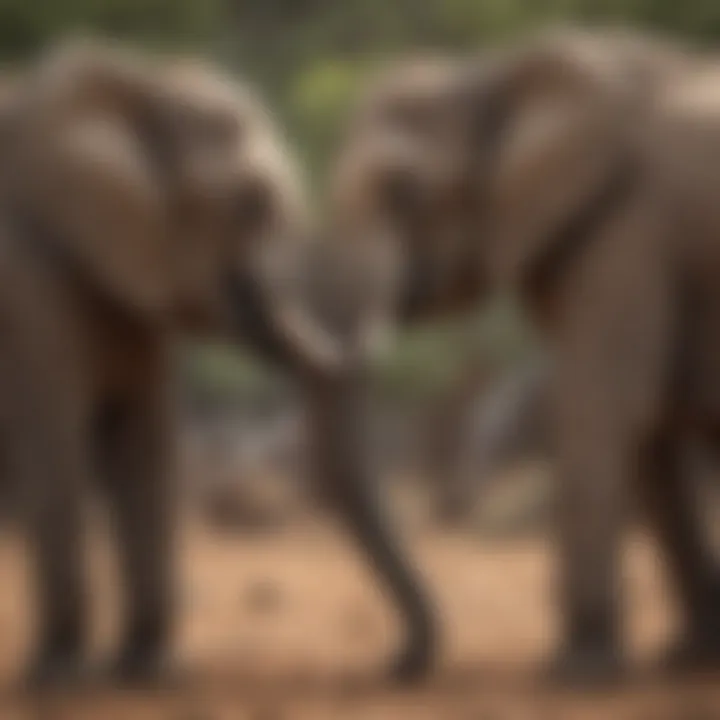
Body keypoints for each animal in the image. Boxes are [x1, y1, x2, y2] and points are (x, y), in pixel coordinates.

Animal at [0, 38, 435, 688]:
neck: (140, 83)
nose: (396, 666)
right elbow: (56, 442)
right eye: (249, 204)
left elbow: (144, 442)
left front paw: (143, 673)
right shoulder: (26, 274)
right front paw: (61, 678)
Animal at [324, 27, 720, 683]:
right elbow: (647, 432)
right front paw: (687, 659)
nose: (395, 667)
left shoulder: (626, 233)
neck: (492, 78)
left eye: (405, 193)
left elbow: (602, 408)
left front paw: (578, 674)